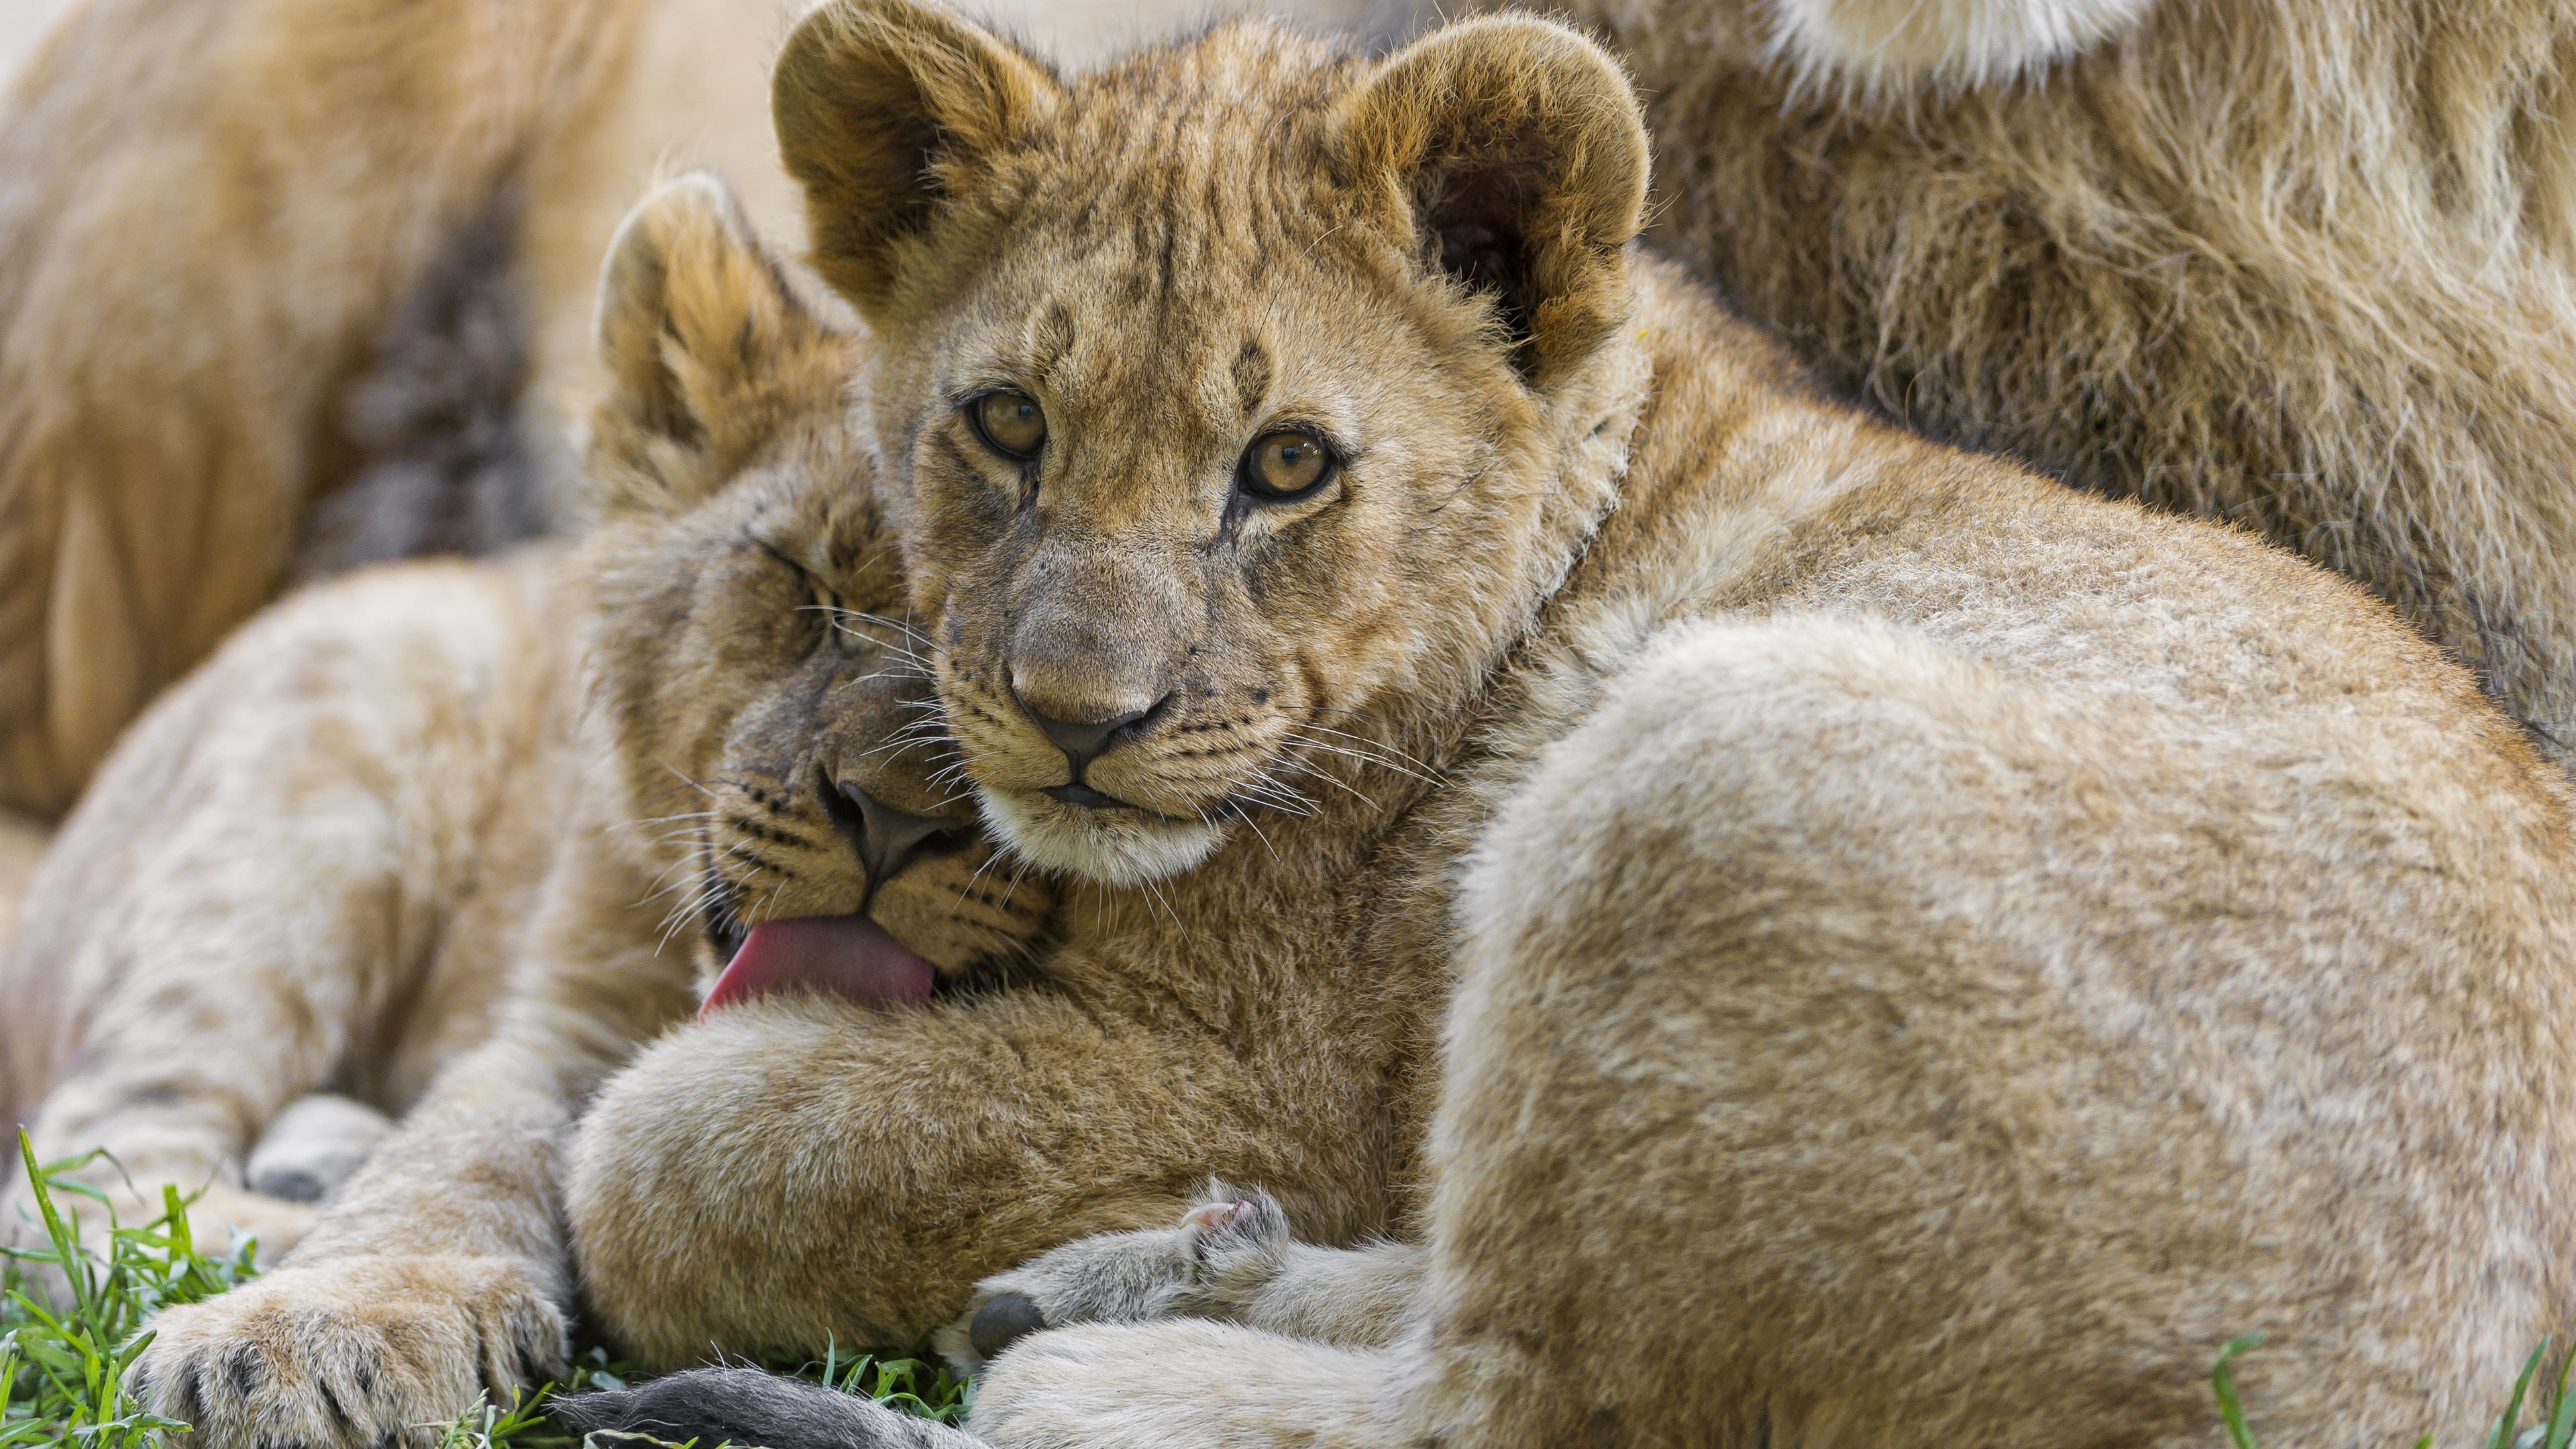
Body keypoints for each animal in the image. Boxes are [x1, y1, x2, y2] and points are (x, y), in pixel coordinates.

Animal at [502, 6, 2576, 1449]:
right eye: (1007, 423)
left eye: (1287, 465)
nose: (1080, 725)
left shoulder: (1263, 1078)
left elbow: (657, 1154)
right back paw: (1139, 1276)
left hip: (1704, 750)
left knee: (1526, 1401)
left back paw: (1077, 1357)